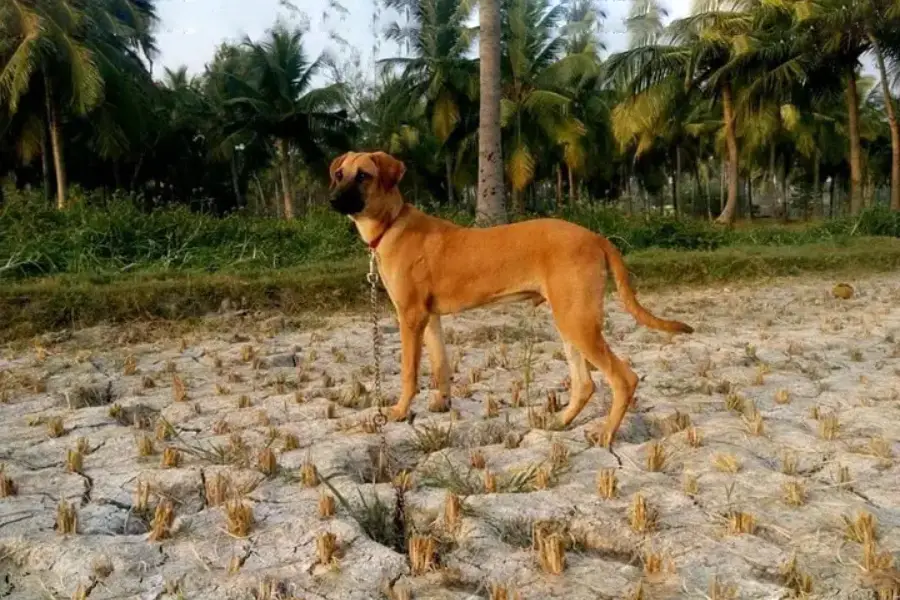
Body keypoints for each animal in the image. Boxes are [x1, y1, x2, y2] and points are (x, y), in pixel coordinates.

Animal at [326, 151, 692, 446]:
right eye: (340, 174)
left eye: (364, 175)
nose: (331, 201)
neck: (392, 223)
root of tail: (595, 236)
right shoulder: (430, 318)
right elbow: (440, 364)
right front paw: (442, 404)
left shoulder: (410, 316)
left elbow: (408, 372)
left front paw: (400, 411)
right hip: (570, 321)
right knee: (585, 383)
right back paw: (560, 421)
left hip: (577, 322)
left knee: (623, 378)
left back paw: (605, 435)